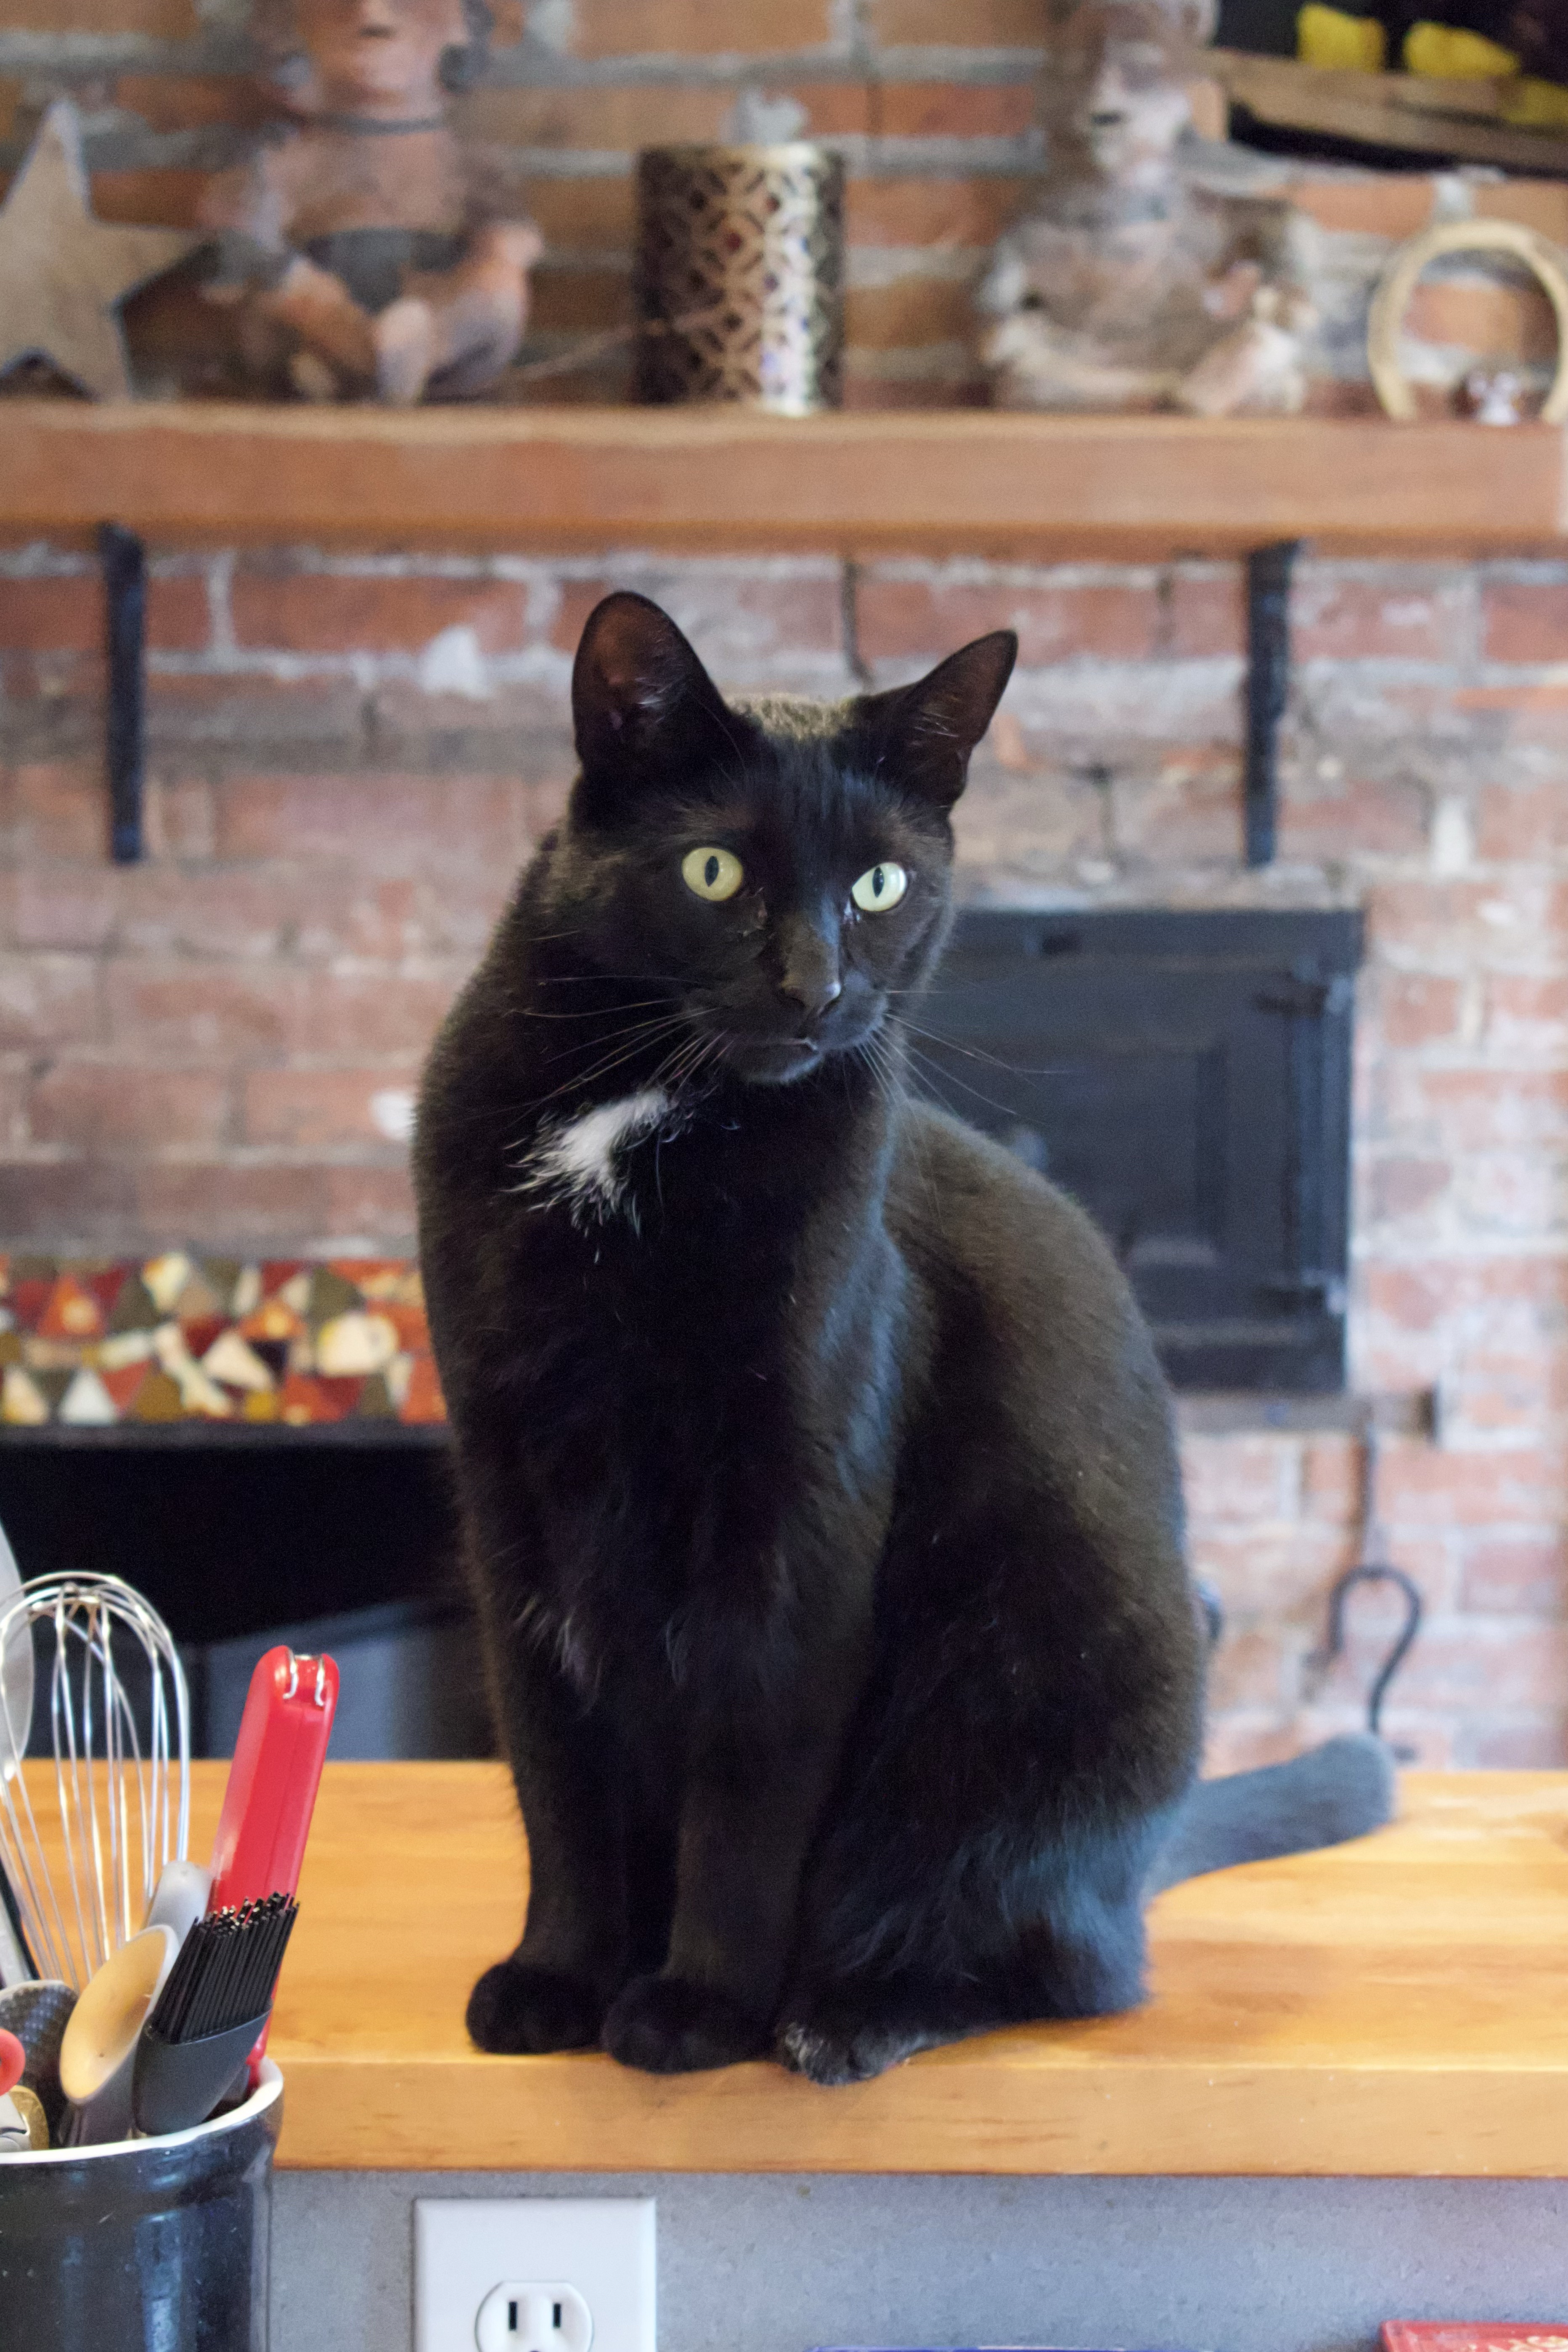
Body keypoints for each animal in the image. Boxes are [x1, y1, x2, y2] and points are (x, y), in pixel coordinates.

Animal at [411, 597, 1391, 2088]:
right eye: (713, 871)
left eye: (879, 887)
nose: (815, 988)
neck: (639, 1125)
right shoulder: (509, 1490)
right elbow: (555, 1772)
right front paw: (559, 1978)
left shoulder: (799, 1512)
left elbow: (749, 1789)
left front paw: (697, 2006)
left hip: (1037, 1703)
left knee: (1055, 1959)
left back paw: (844, 2016)